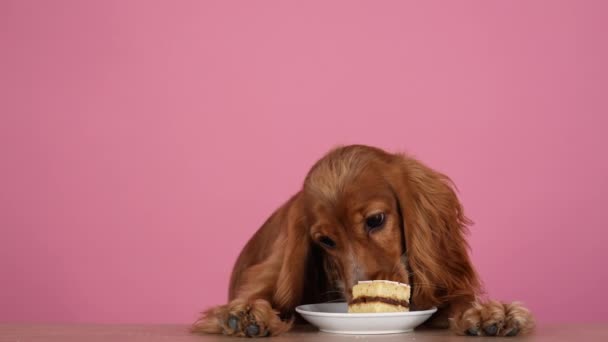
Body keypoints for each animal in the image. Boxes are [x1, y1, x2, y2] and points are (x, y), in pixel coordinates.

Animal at [192, 144, 536, 336]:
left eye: (375, 220)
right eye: (326, 241)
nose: (362, 292)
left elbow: (456, 307)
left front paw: (489, 313)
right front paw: (246, 313)